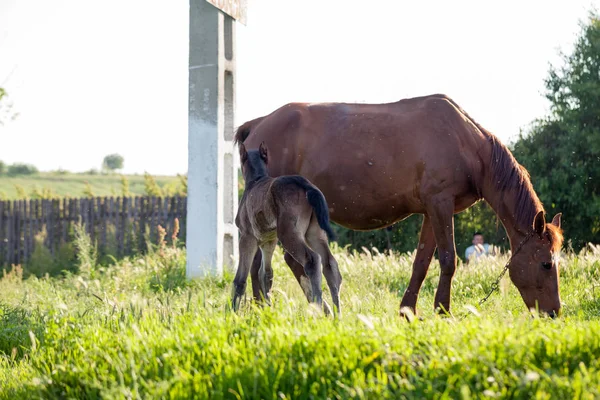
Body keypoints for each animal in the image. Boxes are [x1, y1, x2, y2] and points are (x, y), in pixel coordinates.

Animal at [230, 141, 342, 316]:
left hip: (288, 234)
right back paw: (337, 314)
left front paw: (232, 314)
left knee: (313, 259)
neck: (256, 180)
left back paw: (317, 305)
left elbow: (240, 279)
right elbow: (266, 274)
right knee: (330, 264)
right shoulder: (268, 241)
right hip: (314, 233)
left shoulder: (247, 237)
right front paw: (267, 311)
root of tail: (306, 185)